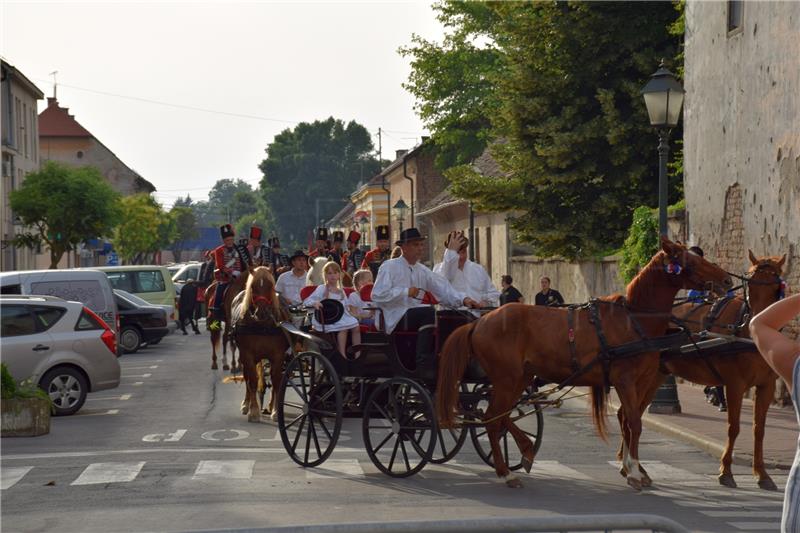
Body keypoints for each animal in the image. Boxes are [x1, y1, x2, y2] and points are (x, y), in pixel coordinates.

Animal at [230, 264, 290, 420]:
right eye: (253, 286)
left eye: (270, 286)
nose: (261, 312)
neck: (262, 325)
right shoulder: (248, 355)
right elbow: (252, 380)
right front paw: (254, 411)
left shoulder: (278, 355)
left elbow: (276, 381)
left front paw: (275, 411)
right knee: (247, 377)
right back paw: (246, 404)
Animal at [438, 235, 732, 488]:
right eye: (691, 261)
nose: (727, 279)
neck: (632, 319)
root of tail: (480, 322)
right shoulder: (625, 381)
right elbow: (633, 423)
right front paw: (634, 472)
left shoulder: (639, 382)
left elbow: (629, 422)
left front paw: (632, 467)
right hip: (506, 379)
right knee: (491, 418)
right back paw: (505, 472)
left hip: (520, 378)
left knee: (499, 417)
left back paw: (525, 451)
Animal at [636, 251, 784, 488]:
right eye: (750, 285)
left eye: (776, 287)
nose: (757, 326)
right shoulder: (734, 384)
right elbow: (733, 427)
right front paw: (726, 471)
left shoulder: (767, 386)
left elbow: (759, 429)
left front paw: (762, 475)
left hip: (656, 376)